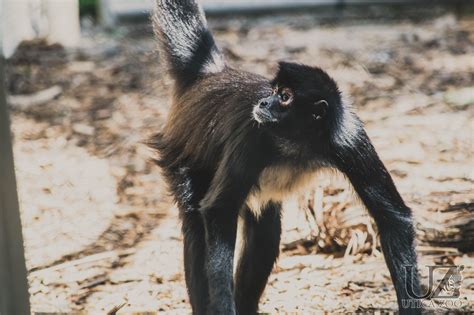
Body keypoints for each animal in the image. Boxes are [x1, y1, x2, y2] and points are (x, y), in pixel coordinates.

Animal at [150, 1, 420, 314]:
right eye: (275, 92)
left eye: (286, 96)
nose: (264, 102)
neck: (297, 144)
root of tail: (210, 75)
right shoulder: (253, 134)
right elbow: (219, 209)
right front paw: (224, 306)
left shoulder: (348, 137)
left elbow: (394, 219)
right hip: (180, 156)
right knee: (197, 224)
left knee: (265, 233)